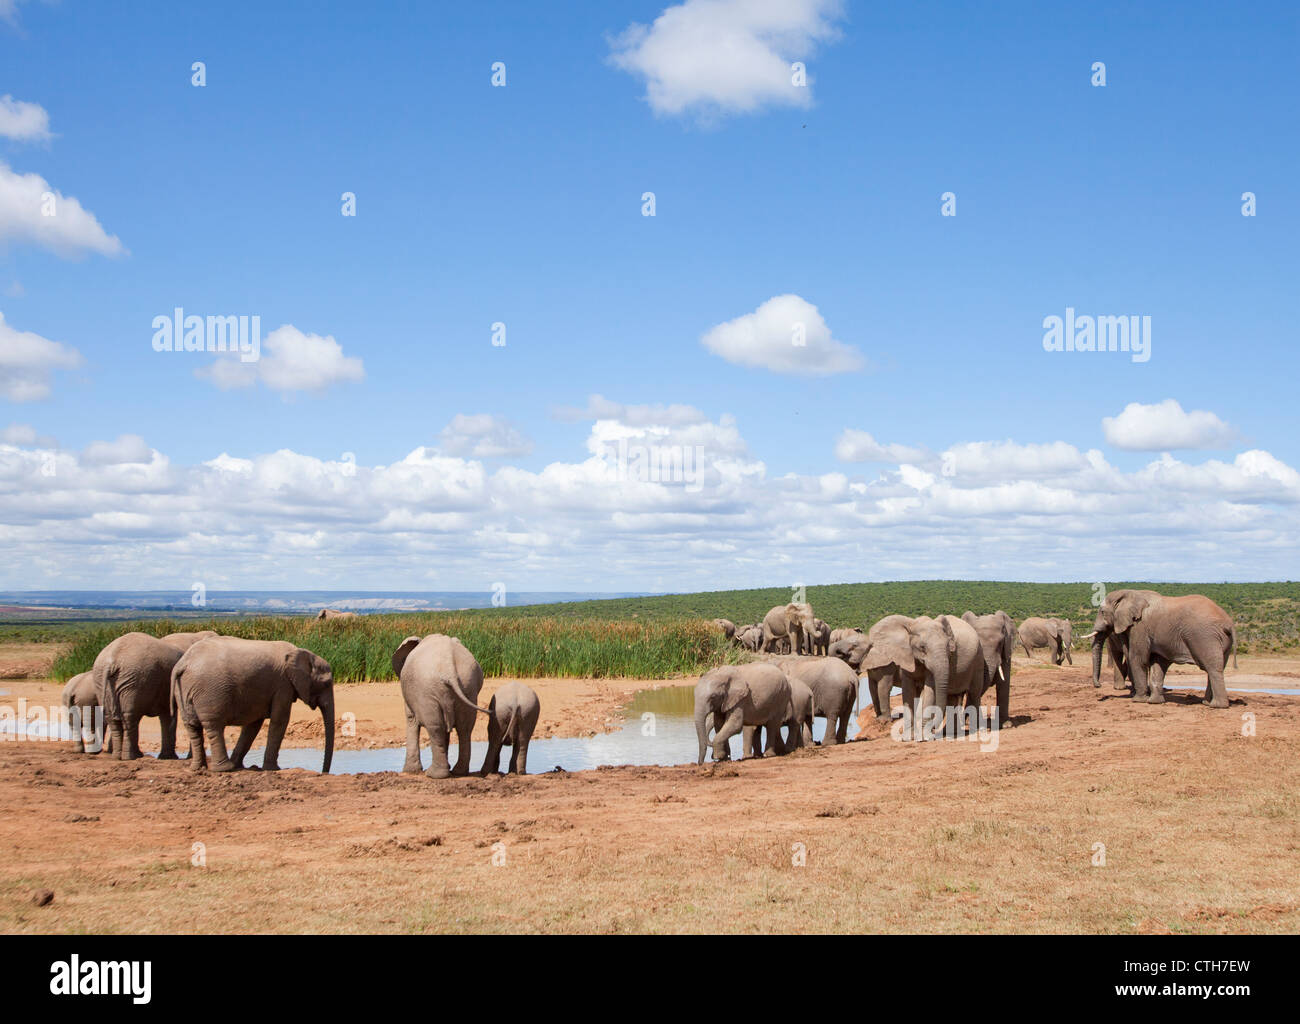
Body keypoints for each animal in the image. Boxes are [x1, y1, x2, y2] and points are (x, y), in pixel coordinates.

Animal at [170, 636, 335, 774]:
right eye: (326, 683)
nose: (324, 773)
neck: (301, 653)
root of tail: (183, 663)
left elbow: (253, 726)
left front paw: (239, 765)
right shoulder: (283, 685)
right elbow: (280, 721)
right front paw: (273, 769)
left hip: (184, 689)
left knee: (192, 727)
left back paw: (198, 768)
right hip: (209, 691)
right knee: (214, 726)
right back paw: (224, 769)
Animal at [390, 631, 488, 774]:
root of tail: (449, 668)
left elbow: (411, 719)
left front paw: (409, 771)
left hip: (427, 691)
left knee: (435, 727)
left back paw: (434, 774)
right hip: (468, 686)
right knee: (465, 728)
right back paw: (458, 771)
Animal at [1086, 587, 1237, 706]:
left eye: (1102, 612)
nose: (1098, 685)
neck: (1131, 593)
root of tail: (1228, 623)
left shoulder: (1140, 627)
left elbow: (1138, 659)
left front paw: (1138, 700)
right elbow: (1157, 663)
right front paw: (1154, 702)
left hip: (1205, 637)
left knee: (1212, 668)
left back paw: (1217, 705)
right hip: (1221, 641)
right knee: (1217, 667)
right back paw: (1206, 702)